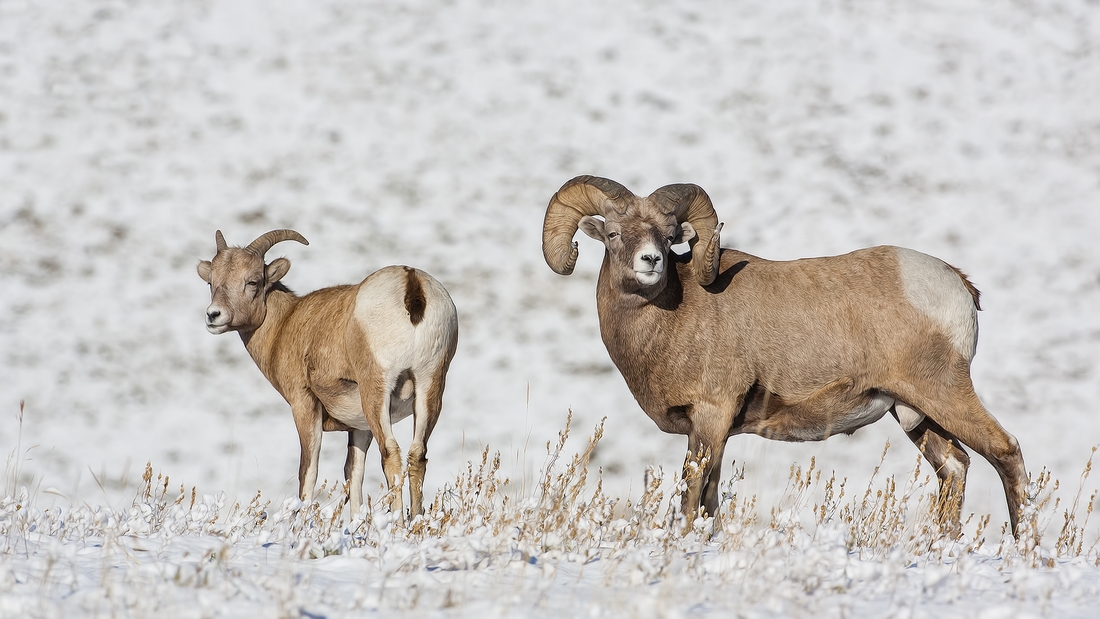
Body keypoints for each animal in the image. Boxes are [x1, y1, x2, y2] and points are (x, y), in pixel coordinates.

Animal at [196, 229, 455, 521]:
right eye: (211, 282)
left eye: (252, 281)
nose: (214, 316)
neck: (285, 324)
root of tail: (411, 283)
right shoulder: (359, 427)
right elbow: (354, 474)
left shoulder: (304, 405)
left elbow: (308, 472)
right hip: (429, 387)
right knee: (417, 454)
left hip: (376, 392)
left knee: (390, 452)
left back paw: (397, 523)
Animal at [541, 174, 1029, 532]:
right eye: (614, 233)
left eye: (667, 236)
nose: (650, 261)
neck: (672, 319)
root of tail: (958, 284)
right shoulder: (716, 432)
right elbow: (710, 502)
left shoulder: (710, 419)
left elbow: (691, 498)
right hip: (913, 413)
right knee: (954, 467)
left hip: (943, 392)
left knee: (1005, 451)